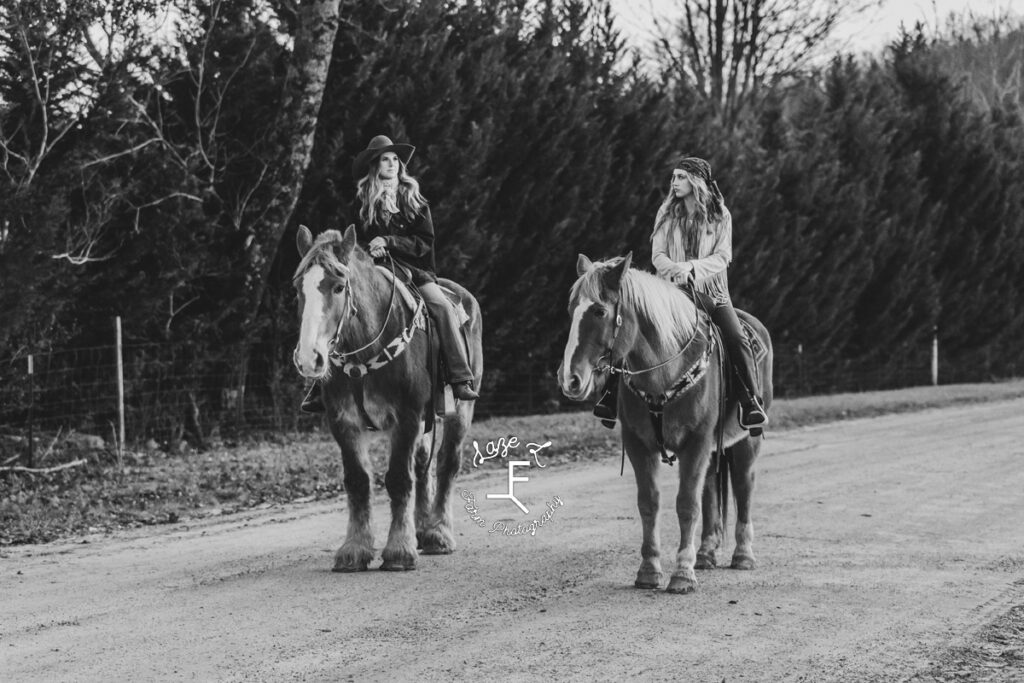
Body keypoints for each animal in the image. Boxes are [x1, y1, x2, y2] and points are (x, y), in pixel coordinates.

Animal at [292, 224, 483, 573]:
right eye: (298, 288)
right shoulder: (343, 421)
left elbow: (398, 479)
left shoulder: (406, 417)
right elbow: (357, 480)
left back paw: (438, 532)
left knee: (447, 462)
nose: (309, 358)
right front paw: (354, 549)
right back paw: (422, 528)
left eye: (338, 286)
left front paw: (398, 551)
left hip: (461, 409)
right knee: (422, 465)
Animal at [557, 253, 770, 593]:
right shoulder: (638, 444)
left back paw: (743, 554)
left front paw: (682, 573)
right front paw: (649, 570)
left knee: (743, 486)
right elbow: (650, 503)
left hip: (748, 440)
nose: (569, 379)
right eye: (571, 310)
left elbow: (686, 504)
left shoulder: (696, 443)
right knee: (710, 489)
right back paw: (706, 553)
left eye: (600, 311)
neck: (665, 371)